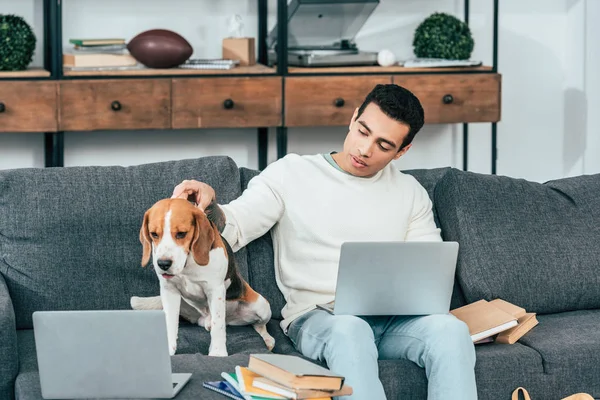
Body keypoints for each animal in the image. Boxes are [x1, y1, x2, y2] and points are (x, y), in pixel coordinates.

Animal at [130, 198, 276, 358]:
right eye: (154, 234)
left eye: (181, 234)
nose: (163, 264)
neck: (188, 265)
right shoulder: (169, 290)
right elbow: (170, 322)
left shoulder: (215, 290)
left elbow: (218, 325)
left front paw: (218, 352)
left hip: (262, 306)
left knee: (258, 325)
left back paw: (267, 339)